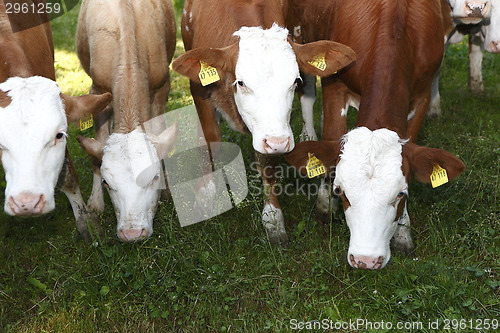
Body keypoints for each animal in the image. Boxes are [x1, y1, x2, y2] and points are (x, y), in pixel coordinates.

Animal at [76, 0, 180, 240]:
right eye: (106, 182)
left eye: (154, 177)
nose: (132, 233)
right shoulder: (98, 90)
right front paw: (96, 202)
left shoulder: (162, 87)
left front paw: (166, 192)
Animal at [172, 0, 356, 244]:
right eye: (241, 83)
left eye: (293, 81)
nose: (279, 142)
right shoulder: (199, 90)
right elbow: (210, 140)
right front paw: (204, 194)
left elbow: (268, 164)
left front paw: (272, 218)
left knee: (308, 94)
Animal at [284, 0, 466, 268]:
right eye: (341, 191)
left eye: (401, 193)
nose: (365, 260)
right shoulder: (335, 83)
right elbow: (330, 143)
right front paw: (325, 205)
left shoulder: (421, 95)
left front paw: (403, 233)